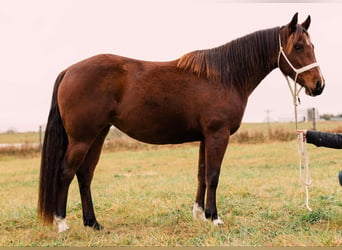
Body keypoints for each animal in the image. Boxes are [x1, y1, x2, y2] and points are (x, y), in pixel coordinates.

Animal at [38, 13, 324, 232]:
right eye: (299, 46)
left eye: (312, 46)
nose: (319, 85)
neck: (225, 76)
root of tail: (69, 71)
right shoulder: (218, 134)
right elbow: (213, 175)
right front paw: (215, 218)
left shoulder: (205, 137)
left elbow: (201, 175)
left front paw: (200, 214)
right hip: (82, 138)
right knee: (65, 173)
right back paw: (62, 223)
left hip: (98, 134)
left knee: (85, 175)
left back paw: (93, 223)